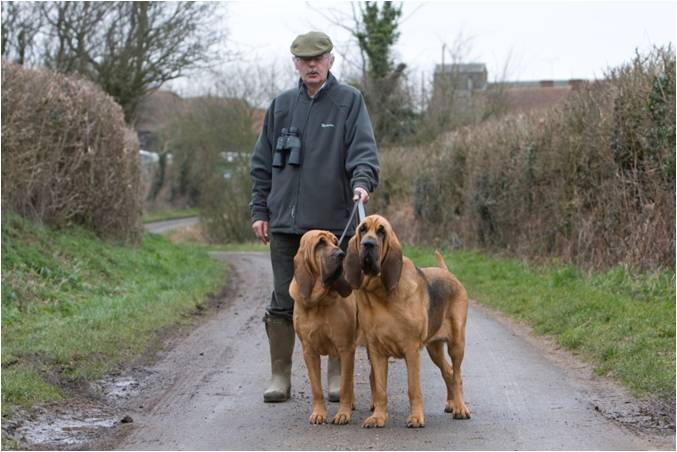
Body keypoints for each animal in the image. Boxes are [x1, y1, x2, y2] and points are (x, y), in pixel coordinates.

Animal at [288, 231, 356, 426]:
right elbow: (316, 388)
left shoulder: (346, 348)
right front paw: (318, 414)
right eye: (320, 243)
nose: (341, 254)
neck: (318, 301)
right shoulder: (309, 352)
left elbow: (344, 386)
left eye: (336, 242)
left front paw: (343, 414)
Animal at [344, 215, 470, 428]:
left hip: (456, 344)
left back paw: (460, 408)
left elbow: (414, 388)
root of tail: (447, 272)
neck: (380, 292)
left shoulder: (411, 350)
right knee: (448, 371)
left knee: (457, 374)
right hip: (434, 348)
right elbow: (380, 389)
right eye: (362, 229)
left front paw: (416, 417)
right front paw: (378, 417)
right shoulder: (376, 351)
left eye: (381, 231)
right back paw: (451, 403)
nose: (367, 244)